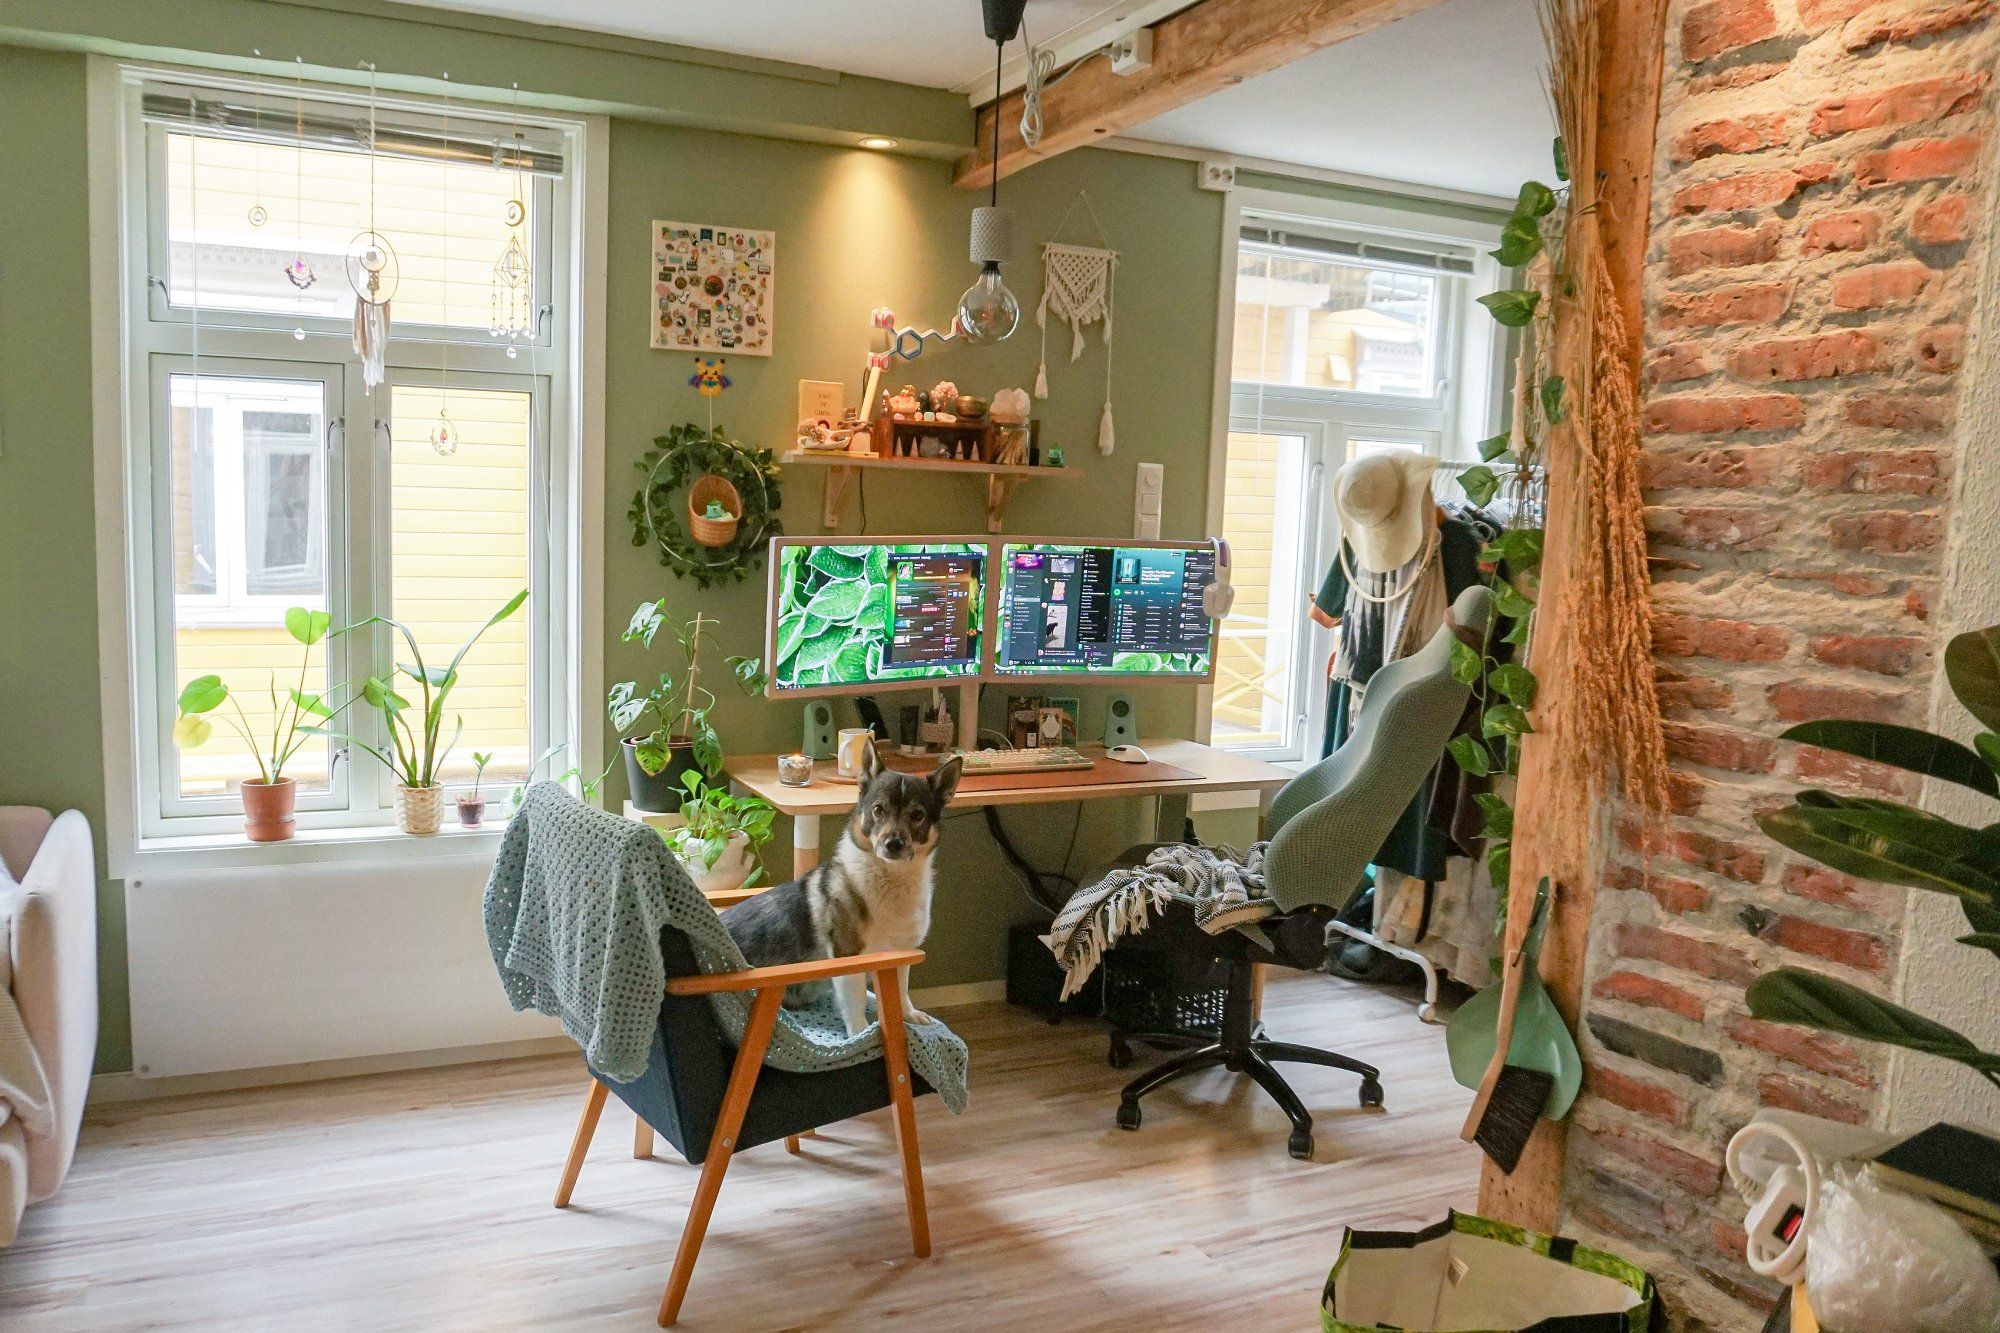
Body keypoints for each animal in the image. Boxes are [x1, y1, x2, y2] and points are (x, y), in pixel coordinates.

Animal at [724, 740, 964, 1032]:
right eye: (878, 809)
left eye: (917, 815)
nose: (893, 844)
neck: (891, 878)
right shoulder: (847, 958)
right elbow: (856, 1006)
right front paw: (861, 1034)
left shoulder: (900, 956)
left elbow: (902, 990)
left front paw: (908, 1014)